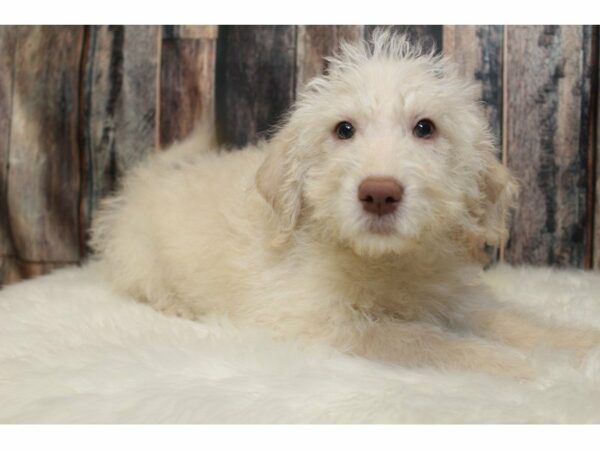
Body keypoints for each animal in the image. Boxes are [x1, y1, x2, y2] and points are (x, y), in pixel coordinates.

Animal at [90, 29, 600, 378]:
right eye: (344, 130)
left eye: (425, 128)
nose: (379, 193)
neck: (383, 261)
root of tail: (145, 179)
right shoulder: (321, 322)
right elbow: (422, 342)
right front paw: (524, 368)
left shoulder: (454, 297)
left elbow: (511, 321)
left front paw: (575, 344)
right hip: (139, 258)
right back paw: (177, 306)